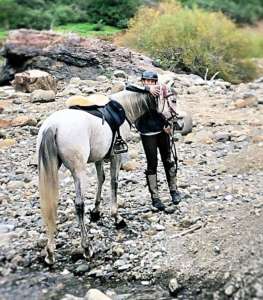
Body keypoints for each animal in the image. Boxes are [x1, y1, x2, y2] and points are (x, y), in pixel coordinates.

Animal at [37, 89, 177, 264]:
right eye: (174, 100)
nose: (176, 122)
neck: (124, 108)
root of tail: (52, 126)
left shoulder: (99, 157)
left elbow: (101, 179)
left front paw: (96, 211)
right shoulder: (116, 155)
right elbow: (113, 182)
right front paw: (117, 218)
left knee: (50, 205)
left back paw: (50, 252)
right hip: (78, 171)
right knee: (79, 205)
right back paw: (86, 248)